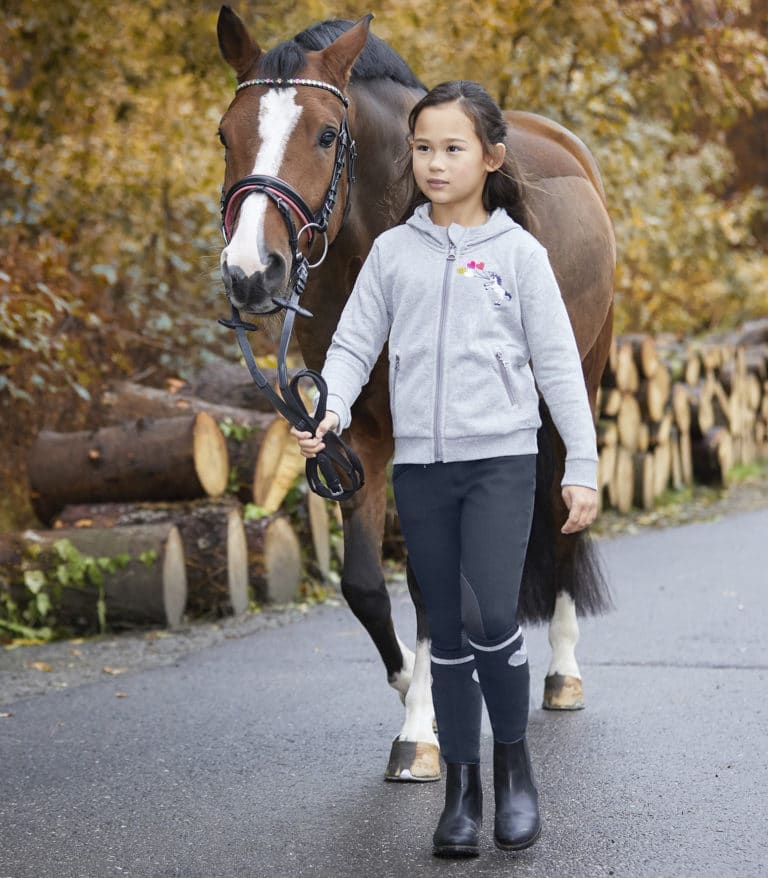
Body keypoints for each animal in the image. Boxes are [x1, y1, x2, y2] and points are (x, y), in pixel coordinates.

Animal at [214, 3, 612, 780]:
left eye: (326, 134)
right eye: (225, 133)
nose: (249, 273)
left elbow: (429, 583)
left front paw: (422, 730)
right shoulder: (353, 432)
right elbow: (367, 584)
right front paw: (413, 692)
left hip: (579, 380)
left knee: (563, 514)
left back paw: (562, 674)